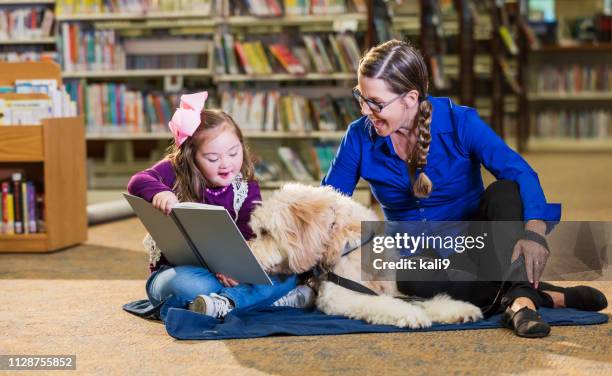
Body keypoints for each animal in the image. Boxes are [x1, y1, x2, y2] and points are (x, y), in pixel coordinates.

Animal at [249, 184, 482, 328]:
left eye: (265, 232)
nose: (251, 252)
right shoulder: (338, 296)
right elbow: (381, 303)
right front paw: (412, 314)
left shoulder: (393, 289)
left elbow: (423, 301)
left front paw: (458, 309)